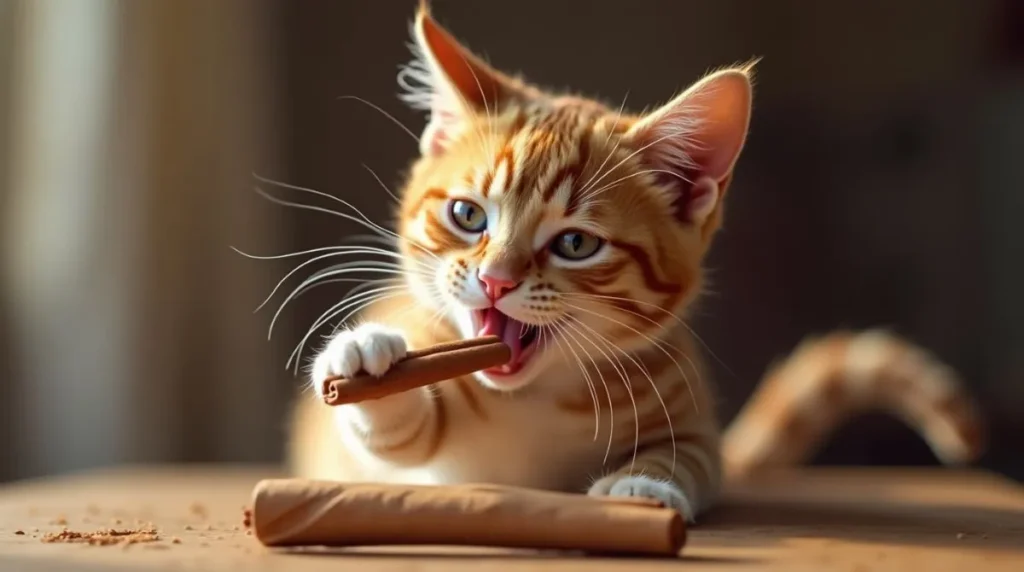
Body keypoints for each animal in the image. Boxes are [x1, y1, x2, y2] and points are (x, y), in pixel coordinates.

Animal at [282, 3, 983, 523]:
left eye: (574, 245)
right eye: (468, 216)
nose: (494, 279)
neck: (532, 400)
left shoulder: (690, 411)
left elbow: (693, 459)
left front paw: (646, 484)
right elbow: (396, 436)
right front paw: (366, 359)